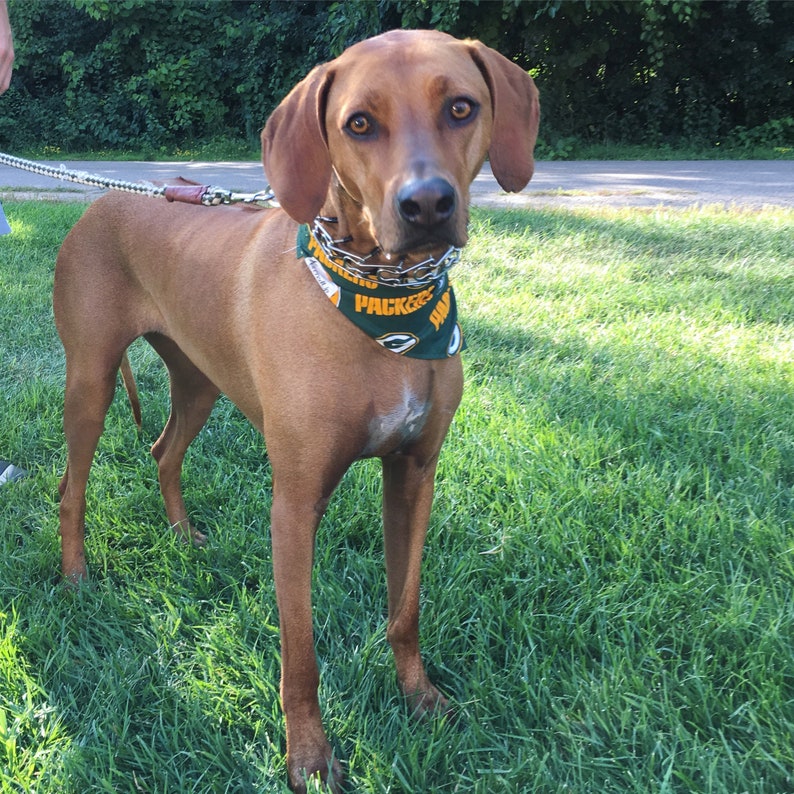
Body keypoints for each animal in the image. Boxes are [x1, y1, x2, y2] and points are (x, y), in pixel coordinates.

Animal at [54, 27, 540, 788]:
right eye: (359, 124)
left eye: (461, 107)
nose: (427, 205)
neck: (383, 308)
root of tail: (105, 202)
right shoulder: (295, 502)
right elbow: (302, 656)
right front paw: (309, 756)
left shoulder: (414, 475)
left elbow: (406, 610)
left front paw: (421, 699)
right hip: (91, 382)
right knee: (73, 484)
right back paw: (76, 575)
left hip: (200, 380)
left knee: (164, 450)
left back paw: (182, 536)